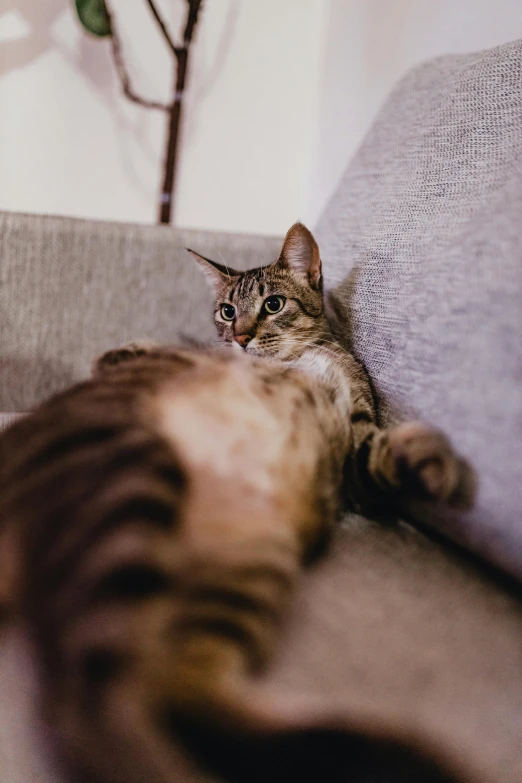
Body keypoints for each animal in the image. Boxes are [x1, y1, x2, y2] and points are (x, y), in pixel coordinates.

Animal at [0, 224, 474, 780]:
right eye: (227, 311)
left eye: (273, 304)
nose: (241, 337)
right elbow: (129, 352)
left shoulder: (356, 453)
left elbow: (382, 457)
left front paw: (429, 460)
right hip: (127, 489)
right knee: (85, 701)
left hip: (240, 564)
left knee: (186, 692)